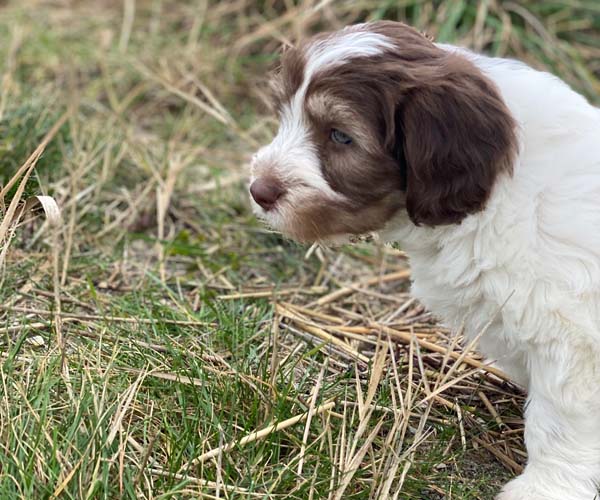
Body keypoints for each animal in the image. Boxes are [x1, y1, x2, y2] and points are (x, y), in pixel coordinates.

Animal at [249, 21, 600, 500]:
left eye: (340, 136)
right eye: (285, 115)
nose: (258, 190)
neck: (497, 195)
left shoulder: (573, 340)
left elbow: (560, 420)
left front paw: (545, 487)